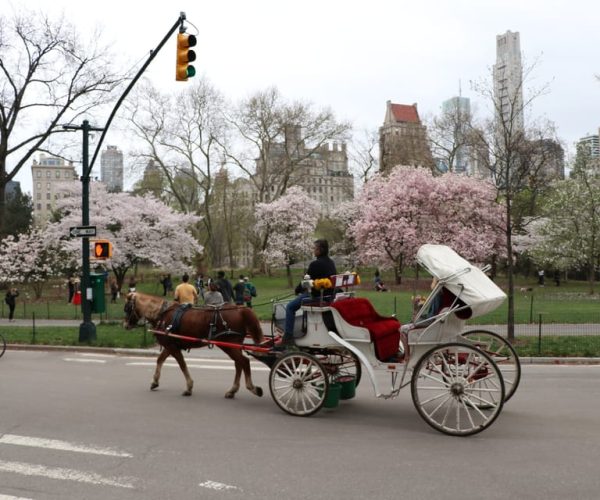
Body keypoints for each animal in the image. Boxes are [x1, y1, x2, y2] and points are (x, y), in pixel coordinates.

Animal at [124, 292, 264, 398]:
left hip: (228, 345)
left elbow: (182, 365)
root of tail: (240, 309)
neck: (162, 314)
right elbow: (160, 360)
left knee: (244, 362)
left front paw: (189, 387)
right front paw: (155, 381)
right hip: (233, 346)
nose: (125, 325)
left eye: (127, 308)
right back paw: (232, 390)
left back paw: (252, 388)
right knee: (238, 363)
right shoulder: (171, 346)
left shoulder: (172, 347)